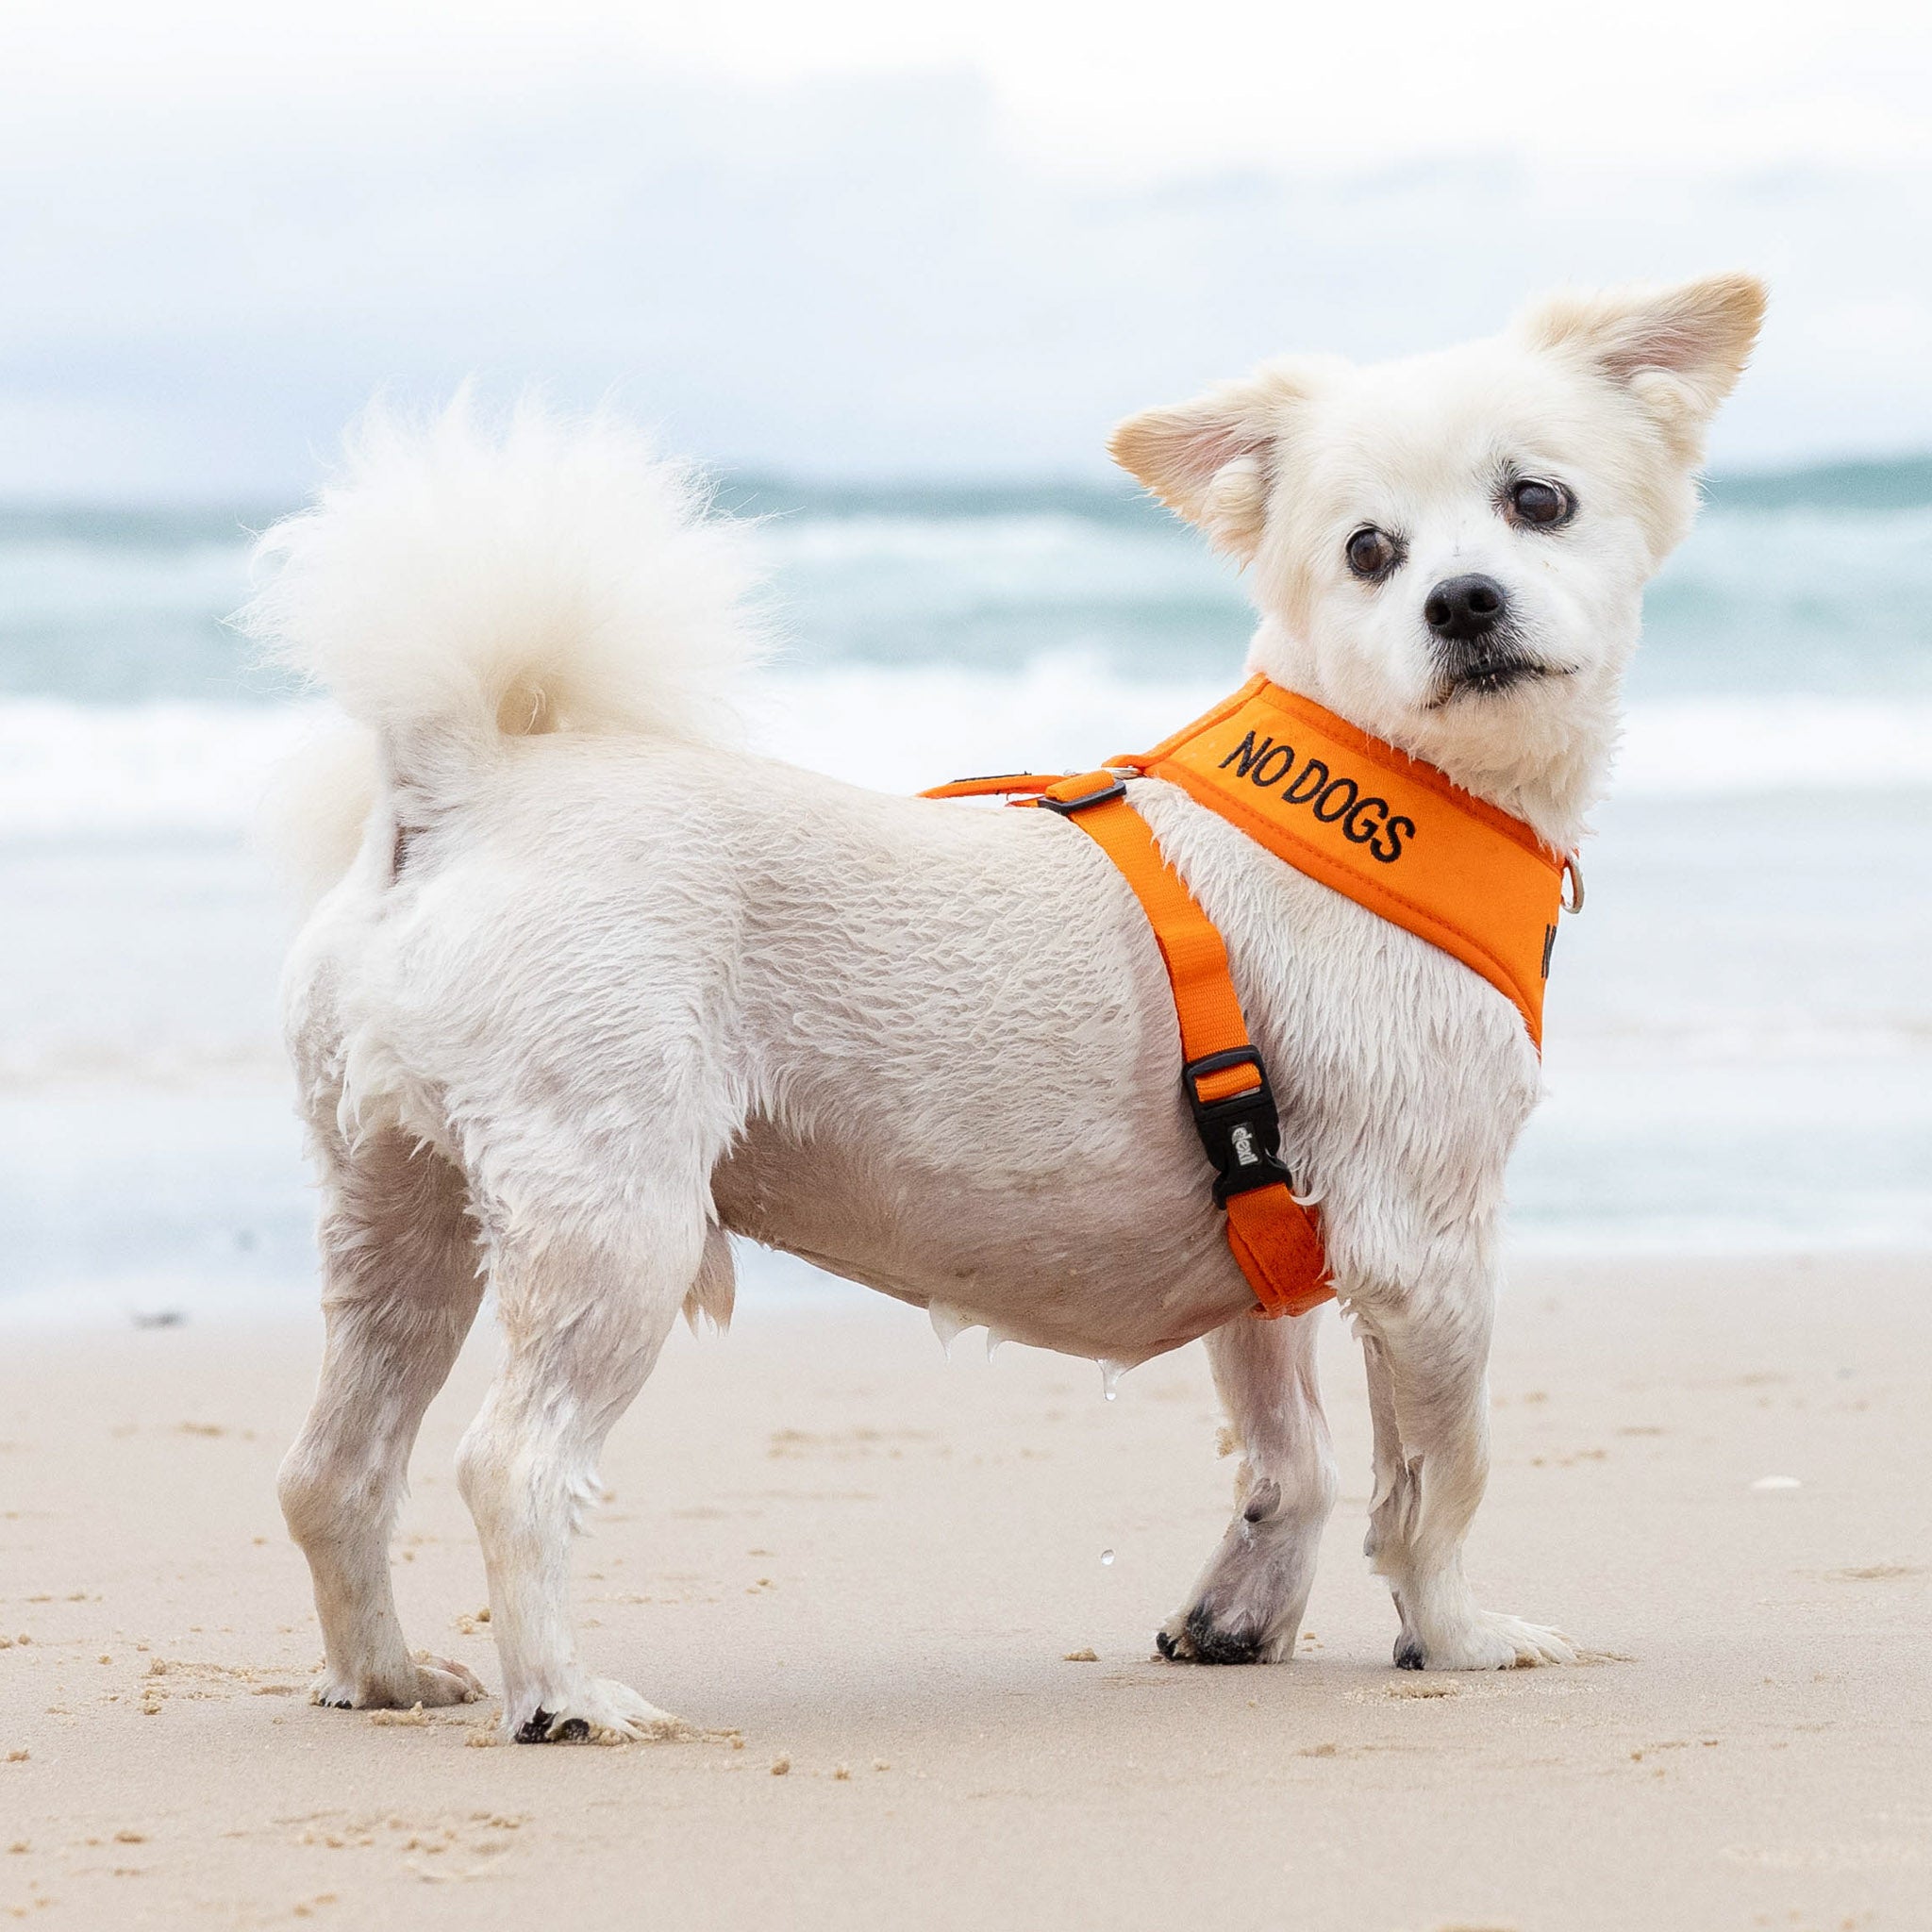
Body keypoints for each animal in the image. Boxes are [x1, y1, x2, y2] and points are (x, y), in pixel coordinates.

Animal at [253, 272, 1769, 1739]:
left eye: (1537, 501)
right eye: (1367, 553)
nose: (1460, 600)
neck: (1387, 778)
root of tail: (466, 791)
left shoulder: (1268, 1250)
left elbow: (1296, 1458)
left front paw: (1239, 1621)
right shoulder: (1424, 1245)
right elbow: (1438, 1476)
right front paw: (1452, 1635)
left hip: (399, 1217)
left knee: (332, 1467)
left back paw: (381, 1673)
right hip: (613, 1229)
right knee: (512, 1464)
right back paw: (562, 1695)